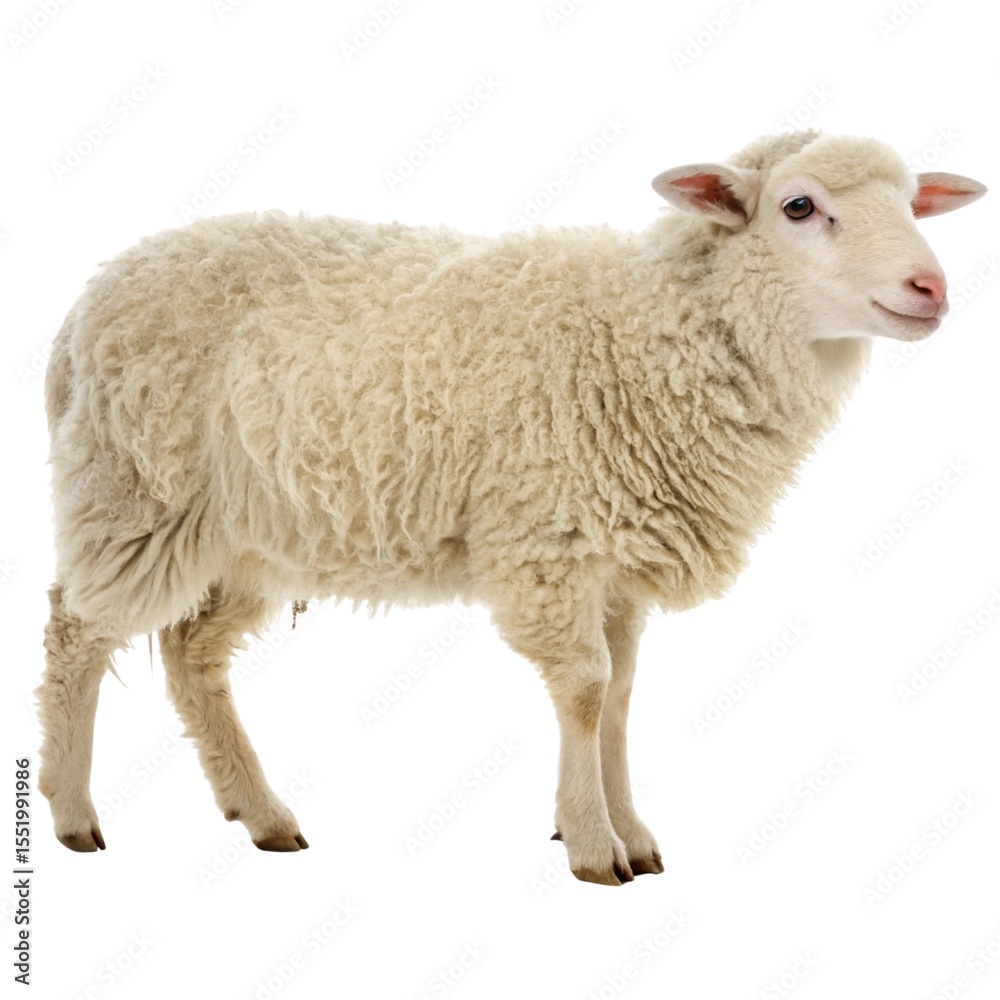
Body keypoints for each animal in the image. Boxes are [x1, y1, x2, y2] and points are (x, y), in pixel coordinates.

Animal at [37, 130, 985, 884]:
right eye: (799, 206)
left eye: (913, 204)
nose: (931, 289)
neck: (652, 336)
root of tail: (83, 309)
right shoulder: (550, 542)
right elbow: (586, 693)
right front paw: (595, 847)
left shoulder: (616, 564)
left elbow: (622, 695)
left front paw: (629, 830)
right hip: (134, 492)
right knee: (75, 634)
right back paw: (72, 812)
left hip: (250, 532)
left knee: (192, 654)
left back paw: (261, 814)